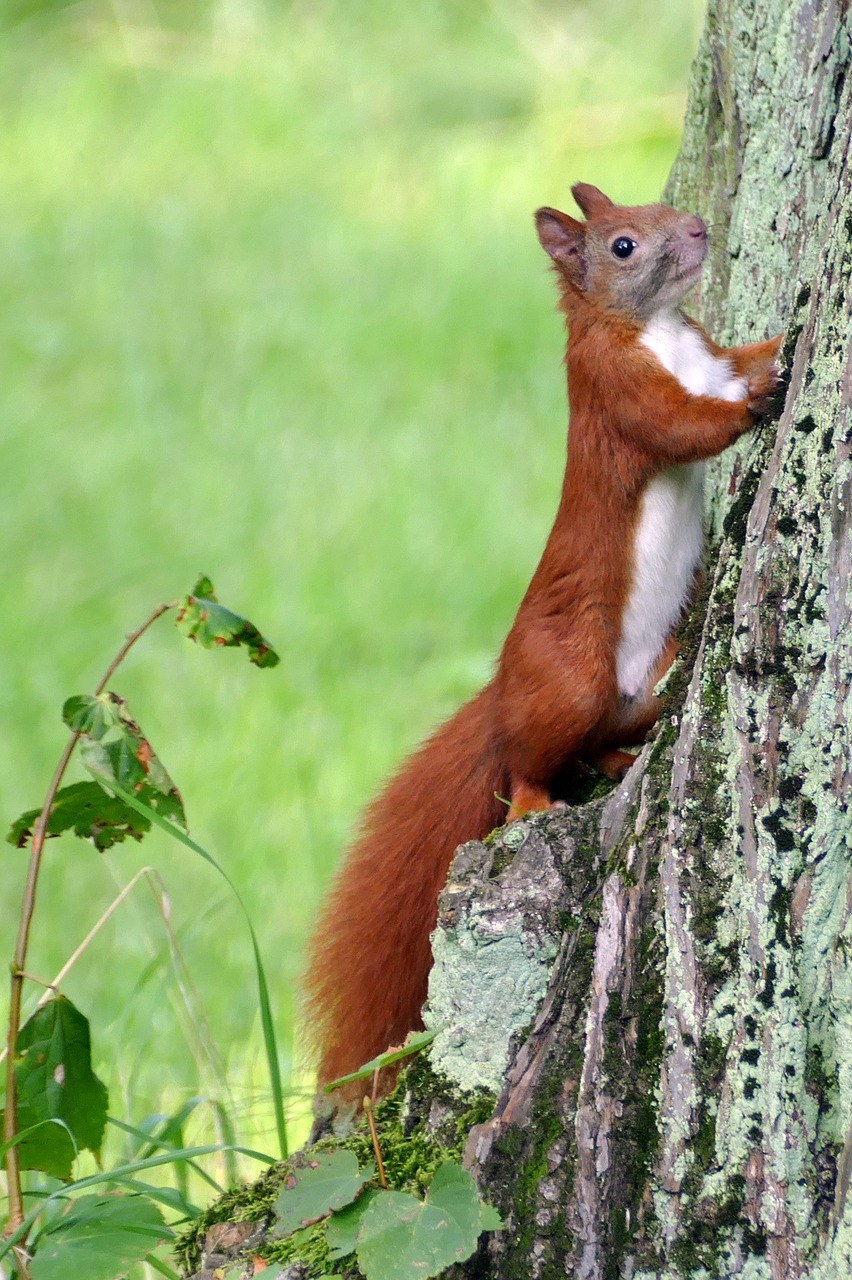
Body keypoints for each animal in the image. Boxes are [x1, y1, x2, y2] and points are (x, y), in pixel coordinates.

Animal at [301, 183, 777, 1090]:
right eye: (623, 244)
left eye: (658, 204)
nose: (699, 228)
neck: (660, 329)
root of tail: (502, 694)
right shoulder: (618, 394)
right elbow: (687, 426)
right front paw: (757, 402)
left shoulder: (709, 351)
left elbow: (742, 355)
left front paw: (780, 348)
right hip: (571, 675)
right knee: (532, 760)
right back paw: (533, 800)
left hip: (644, 679)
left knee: (599, 739)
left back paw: (621, 759)